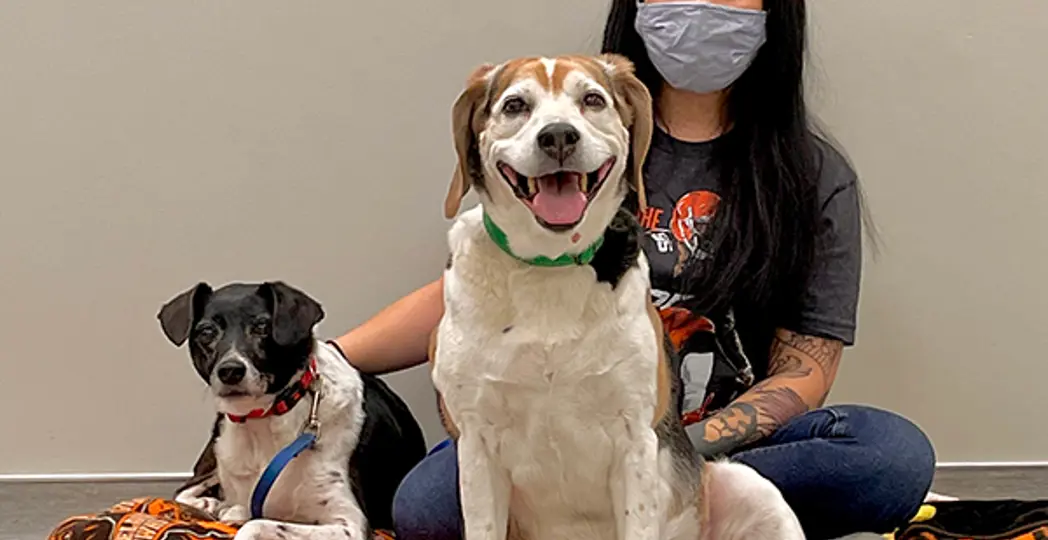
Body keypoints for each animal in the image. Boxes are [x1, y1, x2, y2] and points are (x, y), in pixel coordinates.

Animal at [158, 281, 426, 540]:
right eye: (206, 332)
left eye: (262, 327)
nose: (230, 371)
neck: (263, 420)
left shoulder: (350, 524)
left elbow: (254, 525)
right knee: (184, 490)